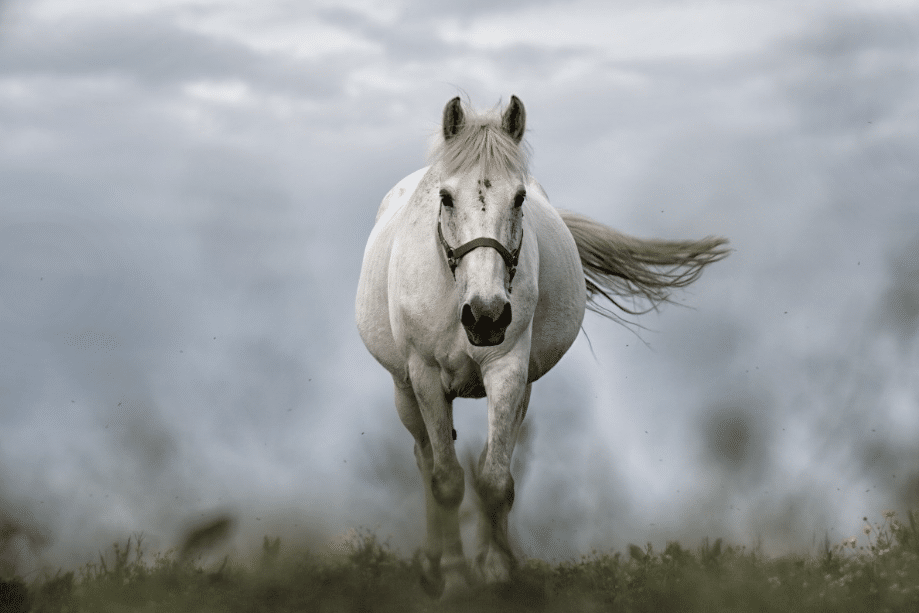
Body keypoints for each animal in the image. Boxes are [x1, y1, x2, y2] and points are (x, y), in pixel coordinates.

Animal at [355, 95, 729, 598]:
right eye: (446, 197)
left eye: (519, 198)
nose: (487, 316)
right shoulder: (426, 376)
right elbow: (447, 480)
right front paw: (453, 578)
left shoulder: (509, 370)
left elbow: (495, 479)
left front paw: (496, 571)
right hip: (404, 390)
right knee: (425, 460)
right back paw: (433, 564)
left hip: (521, 391)